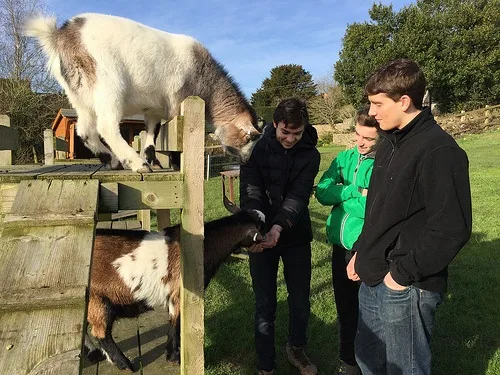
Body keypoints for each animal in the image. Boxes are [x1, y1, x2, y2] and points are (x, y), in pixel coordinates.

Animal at [25, 13, 262, 173]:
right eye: (248, 139)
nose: (246, 162)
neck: (206, 80)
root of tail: (61, 35)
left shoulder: (153, 110)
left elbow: (152, 132)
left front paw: (152, 159)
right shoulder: (179, 103)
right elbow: (174, 135)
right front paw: (169, 163)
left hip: (79, 95)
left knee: (85, 130)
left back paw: (112, 160)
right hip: (108, 83)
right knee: (106, 126)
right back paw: (135, 164)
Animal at [86, 198, 266, 372]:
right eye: (261, 227)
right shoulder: (178, 294)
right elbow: (176, 323)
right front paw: (174, 357)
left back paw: (94, 353)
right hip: (98, 300)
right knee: (101, 333)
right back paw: (124, 364)